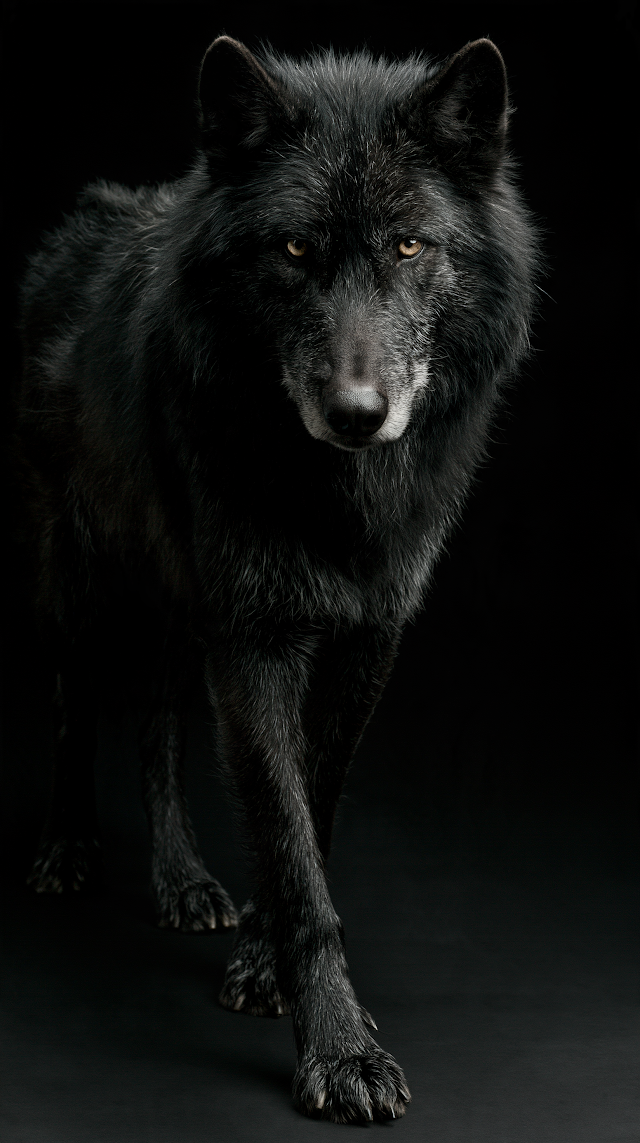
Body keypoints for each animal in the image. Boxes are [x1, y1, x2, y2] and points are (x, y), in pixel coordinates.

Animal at [16, 35, 537, 1122]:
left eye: (409, 248)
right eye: (294, 251)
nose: (356, 413)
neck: (337, 498)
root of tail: (88, 211)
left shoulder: (365, 639)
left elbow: (311, 810)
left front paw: (260, 962)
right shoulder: (253, 640)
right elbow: (293, 851)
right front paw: (340, 1051)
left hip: (179, 611)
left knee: (158, 728)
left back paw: (183, 883)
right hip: (73, 584)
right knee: (77, 710)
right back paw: (67, 850)